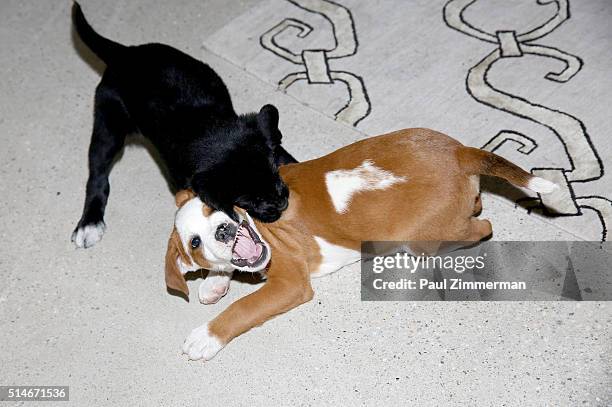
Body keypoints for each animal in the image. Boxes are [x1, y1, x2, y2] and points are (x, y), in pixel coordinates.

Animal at [71, 2, 296, 249]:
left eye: (275, 173)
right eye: (249, 200)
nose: (282, 203)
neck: (206, 127)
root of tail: (124, 53)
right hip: (108, 126)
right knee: (97, 175)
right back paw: (89, 223)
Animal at [165, 128, 556, 360]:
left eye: (214, 209)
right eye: (195, 242)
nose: (223, 231)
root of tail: (461, 153)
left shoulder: (289, 284)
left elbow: (243, 308)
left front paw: (206, 336)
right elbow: (223, 272)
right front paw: (214, 284)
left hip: (420, 238)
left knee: (481, 228)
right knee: (477, 212)